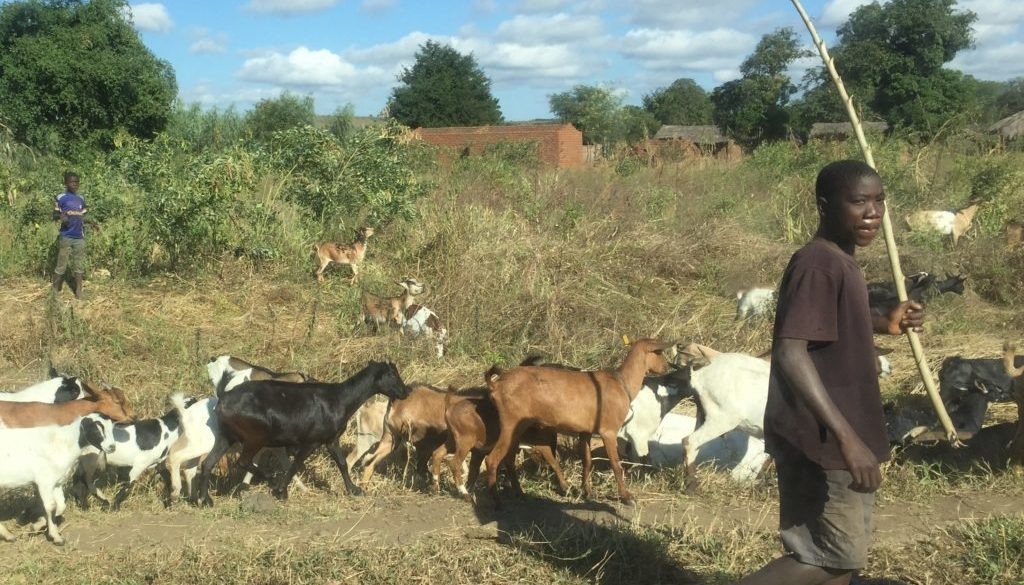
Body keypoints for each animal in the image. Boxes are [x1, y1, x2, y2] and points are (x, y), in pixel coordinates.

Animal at [0, 413, 116, 549]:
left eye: (111, 428)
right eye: (96, 430)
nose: (112, 447)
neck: (64, 443)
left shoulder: (57, 482)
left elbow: (61, 506)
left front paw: (37, 526)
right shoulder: (44, 481)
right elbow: (51, 506)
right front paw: (56, 537)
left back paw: (8, 535)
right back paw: (8, 535)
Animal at [190, 358, 409, 506]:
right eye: (392, 375)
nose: (405, 392)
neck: (340, 399)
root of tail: (222, 401)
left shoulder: (331, 439)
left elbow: (342, 463)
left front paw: (354, 489)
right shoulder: (311, 441)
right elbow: (296, 464)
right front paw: (281, 491)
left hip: (225, 437)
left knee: (208, 463)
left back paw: (205, 500)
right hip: (255, 436)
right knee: (243, 461)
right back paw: (269, 478)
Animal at [483, 338, 675, 508]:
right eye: (658, 352)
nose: (666, 367)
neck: (621, 383)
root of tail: (496, 385)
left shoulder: (585, 432)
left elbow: (587, 461)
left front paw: (587, 492)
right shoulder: (608, 431)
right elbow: (616, 465)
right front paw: (627, 497)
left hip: (521, 427)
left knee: (511, 459)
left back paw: (522, 494)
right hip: (510, 424)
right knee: (492, 459)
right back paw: (498, 502)